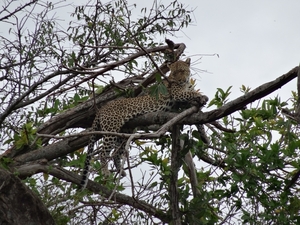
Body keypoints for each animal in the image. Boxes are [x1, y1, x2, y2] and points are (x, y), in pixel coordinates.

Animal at [81, 58, 210, 188]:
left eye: (182, 71)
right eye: (174, 73)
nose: (180, 80)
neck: (186, 83)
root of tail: (102, 108)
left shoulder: (186, 104)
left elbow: (199, 118)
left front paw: (205, 137)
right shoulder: (178, 95)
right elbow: (190, 94)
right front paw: (201, 95)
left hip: (124, 132)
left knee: (116, 153)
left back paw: (121, 171)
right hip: (111, 129)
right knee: (103, 153)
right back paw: (106, 172)